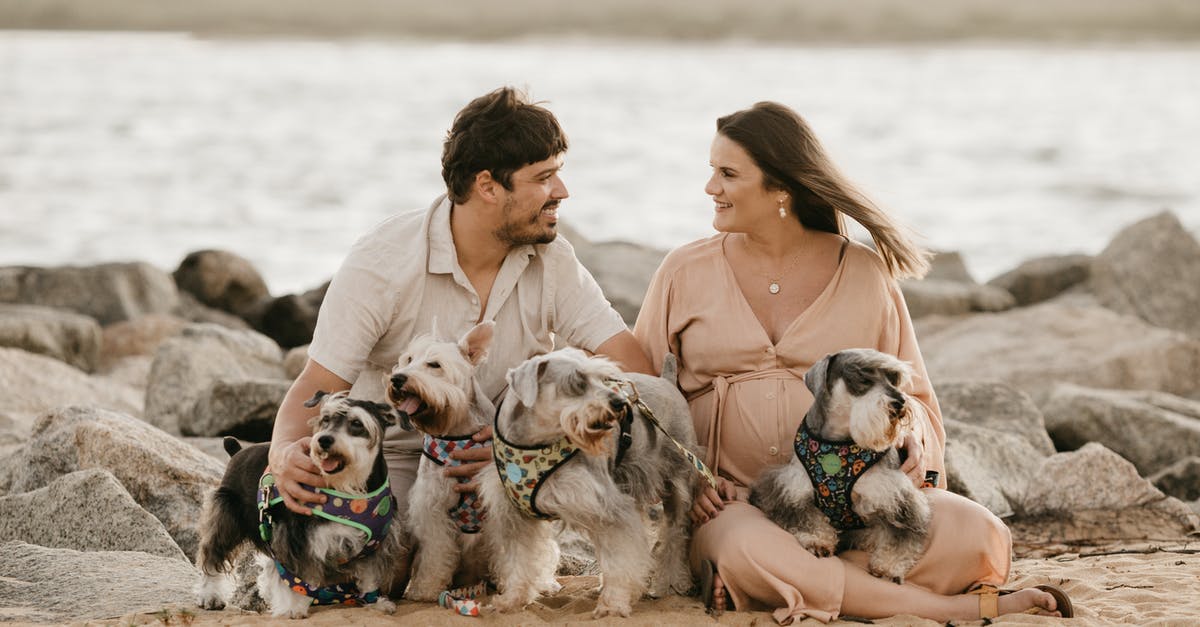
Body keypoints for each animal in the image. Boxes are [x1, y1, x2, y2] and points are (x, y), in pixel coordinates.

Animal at [194, 389, 403, 614]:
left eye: (356, 423)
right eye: (325, 418)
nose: (324, 440)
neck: (350, 489)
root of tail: (238, 450)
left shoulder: (375, 545)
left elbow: (370, 576)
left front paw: (375, 602)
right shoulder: (295, 538)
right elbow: (293, 576)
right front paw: (292, 608)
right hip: (226, 516)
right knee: (212, 555)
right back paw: (209, 596)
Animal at [386, 319, 494, 598]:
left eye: (434, 364)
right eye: (409, 358)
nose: (397, 378)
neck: (458, 430)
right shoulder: (432, 506)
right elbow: (436, 551)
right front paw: (426, 587)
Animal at [477, 348, 700, 614]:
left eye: (604, 379)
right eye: (576, 382)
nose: (620, 403)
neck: (536, 443)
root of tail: (667, 381)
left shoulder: (607, 504)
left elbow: (621, 557)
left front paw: (613, 604)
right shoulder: (514, 516)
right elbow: (518, 560)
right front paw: (512, 599)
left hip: (677, 483)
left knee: (676, 534)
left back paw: (673, 582)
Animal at [748, 345, 926, 581]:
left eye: (893, 378)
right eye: (862, 376)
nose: (901, 402)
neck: (839, 442)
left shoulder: (897, 499)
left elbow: (901, 537)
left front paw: (888, 566)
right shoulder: (791, 489)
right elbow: (807, 518)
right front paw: (818, 541)